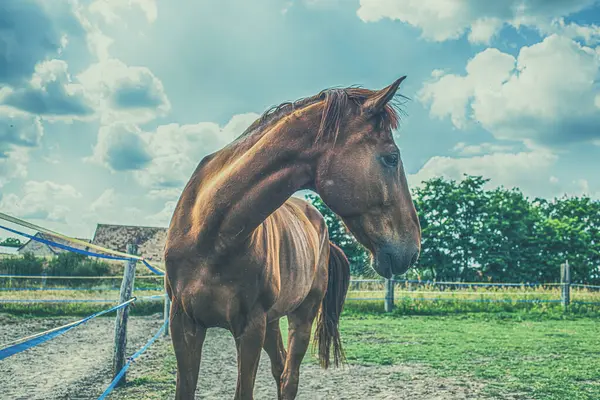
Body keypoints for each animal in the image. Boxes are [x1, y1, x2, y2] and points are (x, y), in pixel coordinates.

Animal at [162, 76, 420, 398]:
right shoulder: (183, 324)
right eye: (391, 158)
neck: (209, 233)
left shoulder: (250, 328)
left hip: (302, 315)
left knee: (289, 377)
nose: (413, 248)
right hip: (272, 321)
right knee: (280, 368)